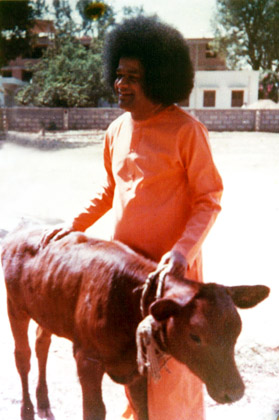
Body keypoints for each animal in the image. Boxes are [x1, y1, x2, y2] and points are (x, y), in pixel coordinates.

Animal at [1, 223, 270, 420]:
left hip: (46, 310)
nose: (234, 392)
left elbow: (143, 408)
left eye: (237, 332)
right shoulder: (86, 359)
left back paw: (44, 403)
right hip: (15, 307)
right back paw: (27, 410)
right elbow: (94, 411)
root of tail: (21, 231)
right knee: (23, 357)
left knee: (41, 345)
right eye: (195, 336)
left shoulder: (137, 367)